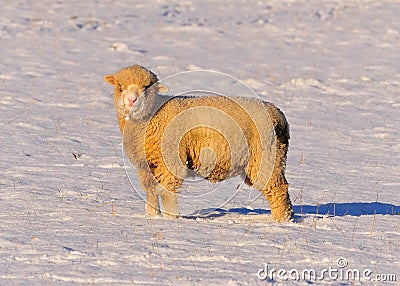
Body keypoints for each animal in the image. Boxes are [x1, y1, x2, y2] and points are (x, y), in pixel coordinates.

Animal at [104, 64, 294, 221]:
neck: (153, 115)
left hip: (266, 157)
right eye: (120, 87)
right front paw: (152, 215)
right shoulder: (146, 165)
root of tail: (278, 114)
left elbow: (166, 191)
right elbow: (150, 190)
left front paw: (170, 218)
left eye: (146, 88)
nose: (131, 100)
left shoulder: (171, 160)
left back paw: (281, 222)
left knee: (278, 189)